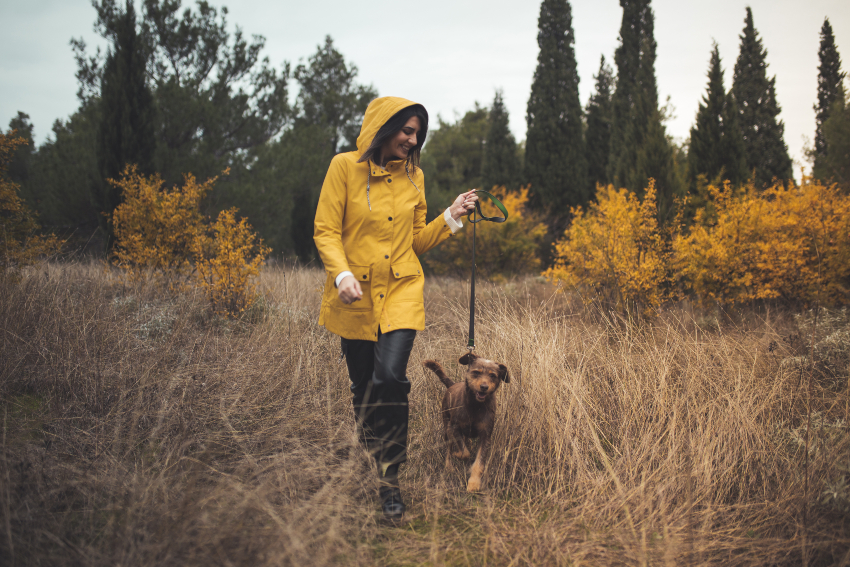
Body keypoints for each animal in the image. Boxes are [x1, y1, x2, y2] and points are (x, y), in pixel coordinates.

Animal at [420, 356, 506, 492]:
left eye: (493, 375)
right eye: (476, 372)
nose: (484, 387)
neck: (476, 406)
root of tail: (453, 385)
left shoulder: (486, 436)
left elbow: (479, 462)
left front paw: (474, 483)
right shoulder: (454, 428)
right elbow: (464, 452)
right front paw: (457, 455)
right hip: (446, 427)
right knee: (449, 448)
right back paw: (449, 465)